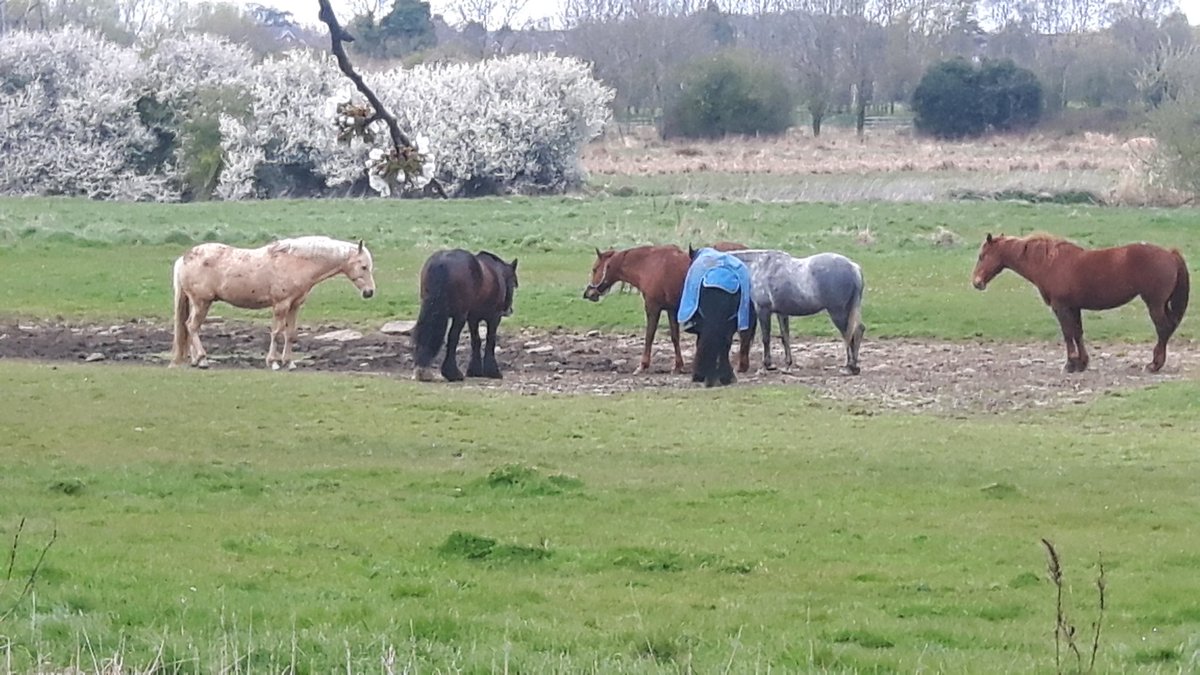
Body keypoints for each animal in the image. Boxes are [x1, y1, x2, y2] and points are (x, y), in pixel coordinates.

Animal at [171, 236, 376, 370]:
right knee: (192, 326)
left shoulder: (294, 305)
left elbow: (290, 334)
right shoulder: (281, 305)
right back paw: (202, 359)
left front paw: (289, 362)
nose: (369, 292)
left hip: (197, 303)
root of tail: (183, 258)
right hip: (201, 302)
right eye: (363, 266)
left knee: (189, 327)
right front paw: (274, 362)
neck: (296, 262)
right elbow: (276, 333)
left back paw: (195, 360)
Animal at [412, 249, 518, 382]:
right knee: (453, 337)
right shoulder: (494, 317)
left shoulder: (472, 319)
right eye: (514, 284)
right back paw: (452, 373)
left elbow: (476, 340)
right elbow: (490, 340)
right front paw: (493, 371)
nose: (509, 310)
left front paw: (475, 370)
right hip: (459, 316)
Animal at [582, 241, 746, 374]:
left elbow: (649, 335)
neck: (649, 265)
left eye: (595, 269)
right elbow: (674, 337)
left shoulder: (653, 308)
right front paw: (678, 366)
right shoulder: (672, 310)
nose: (588, 293)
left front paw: (643, 365)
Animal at [729, 249, 866, 375]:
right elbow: (785, 337)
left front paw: (766, 365)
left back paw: (849, 367)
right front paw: (787, 365)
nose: (739, 368)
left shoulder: (763, 310)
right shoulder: (781, 313)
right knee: (857, 331)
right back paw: (853, 366)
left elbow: (766, 338)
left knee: (849, 334)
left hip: (838, 312)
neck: (758, 266)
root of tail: (853, 268)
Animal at [972, 233, 1189, 373]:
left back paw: (1154, 365)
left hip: (1154, 304)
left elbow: (1068, 334)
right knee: (1168, 328)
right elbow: (1078, 333)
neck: (1049, 262)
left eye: (982, 256)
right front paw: (1082, 363)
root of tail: (1170, 254)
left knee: (1163, 329)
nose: (976, 282)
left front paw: (1070, 364)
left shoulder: (1061, 307)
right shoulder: (1074, 307)